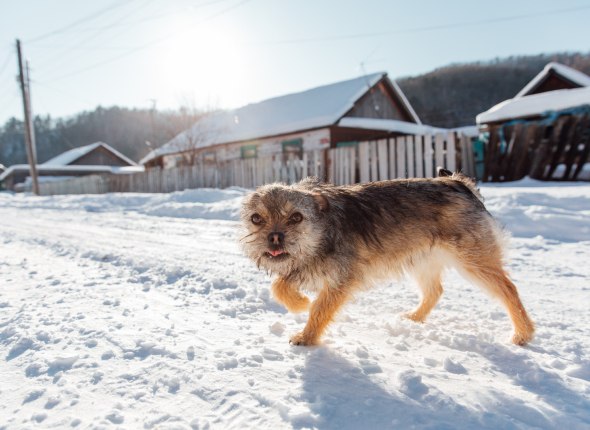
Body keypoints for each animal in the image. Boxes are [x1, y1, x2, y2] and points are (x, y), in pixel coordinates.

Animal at [239, 170, 536, 346]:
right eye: (256, 219)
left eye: (296, 217)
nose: (275, 238)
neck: (322, 232)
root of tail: (458, 183)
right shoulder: (302, 268)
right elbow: (279, 286)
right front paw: (299, 302)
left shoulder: (341, 280)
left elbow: (319, 309)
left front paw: (307, 335)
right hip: (423, 261)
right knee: (435, 291)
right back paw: (415, 317)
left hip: (473, 260)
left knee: (509, 289)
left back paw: (523, 333)